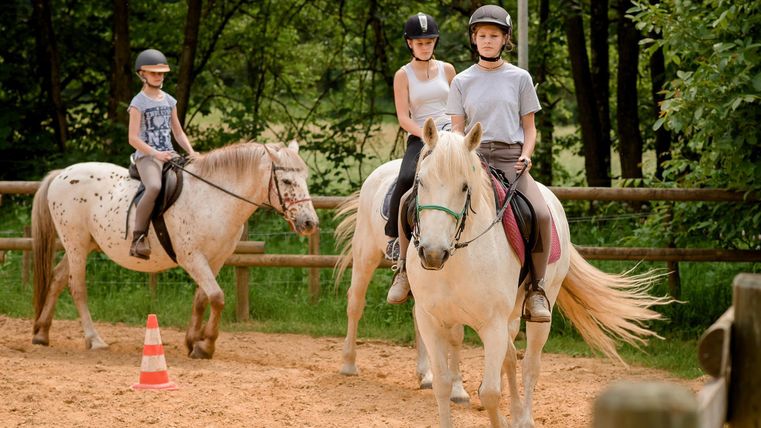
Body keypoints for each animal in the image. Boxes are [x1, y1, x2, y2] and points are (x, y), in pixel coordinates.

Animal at [32, 140, 319, 359]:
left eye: (304, 178)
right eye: (286, 180)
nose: (309, 223)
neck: (213, 199)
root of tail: (62, 174)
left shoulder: (216, 259)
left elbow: (202, 298)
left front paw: (193, 341)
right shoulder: (192, 257)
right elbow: (217, 297)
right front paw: (206, 346)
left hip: (84, 245)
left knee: (57, 279)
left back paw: (41, 333)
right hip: (76, 243)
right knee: (77, 287)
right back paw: (94, 340)